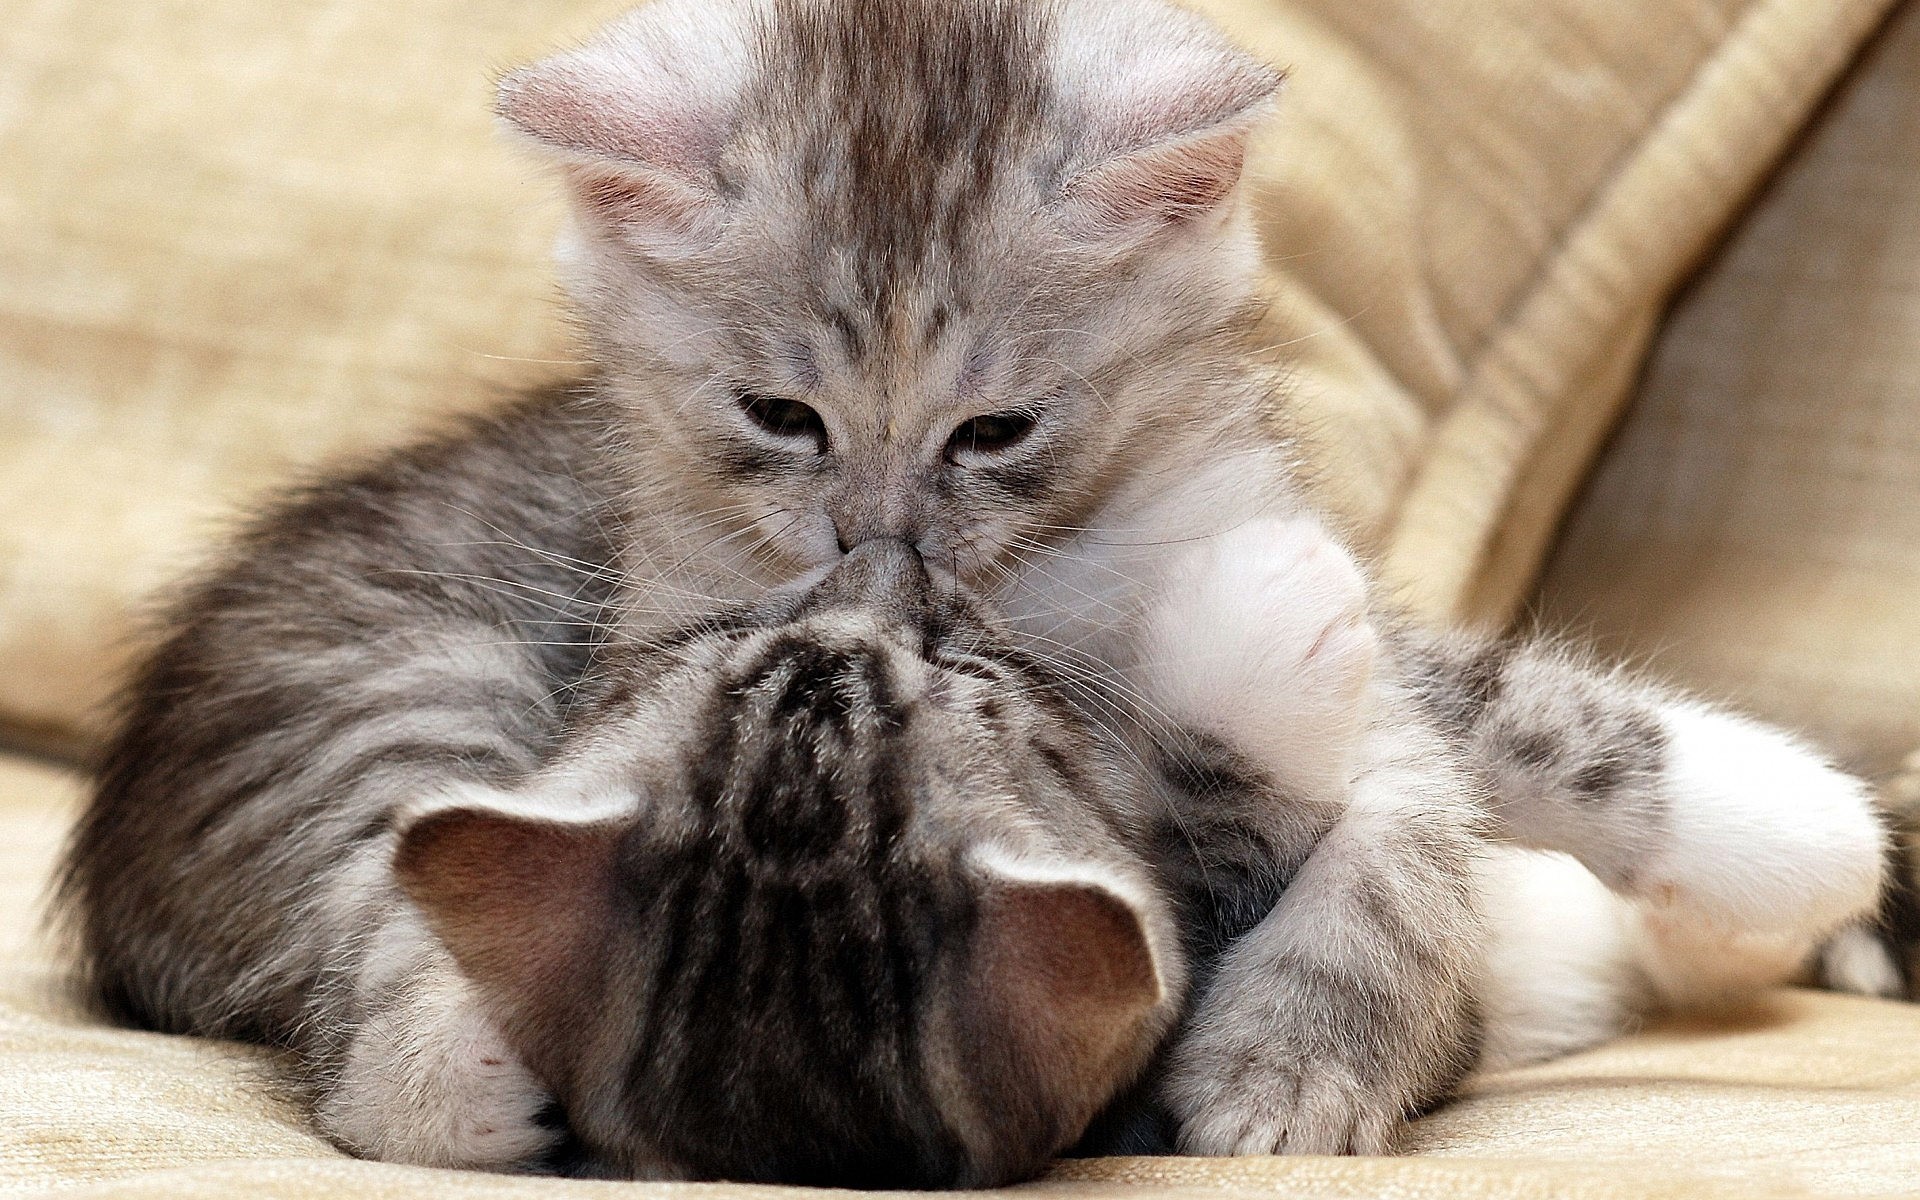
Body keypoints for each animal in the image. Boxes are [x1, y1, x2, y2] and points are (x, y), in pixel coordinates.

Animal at [63, 0, 1889, 1182]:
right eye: (780, 418)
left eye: (995, 432)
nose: (881, 553)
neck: (1057, 577)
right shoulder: (666, 634)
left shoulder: (1310, 586)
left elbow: (1474, 760)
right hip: (393, 687)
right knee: (375, 924)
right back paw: (450, 1073)